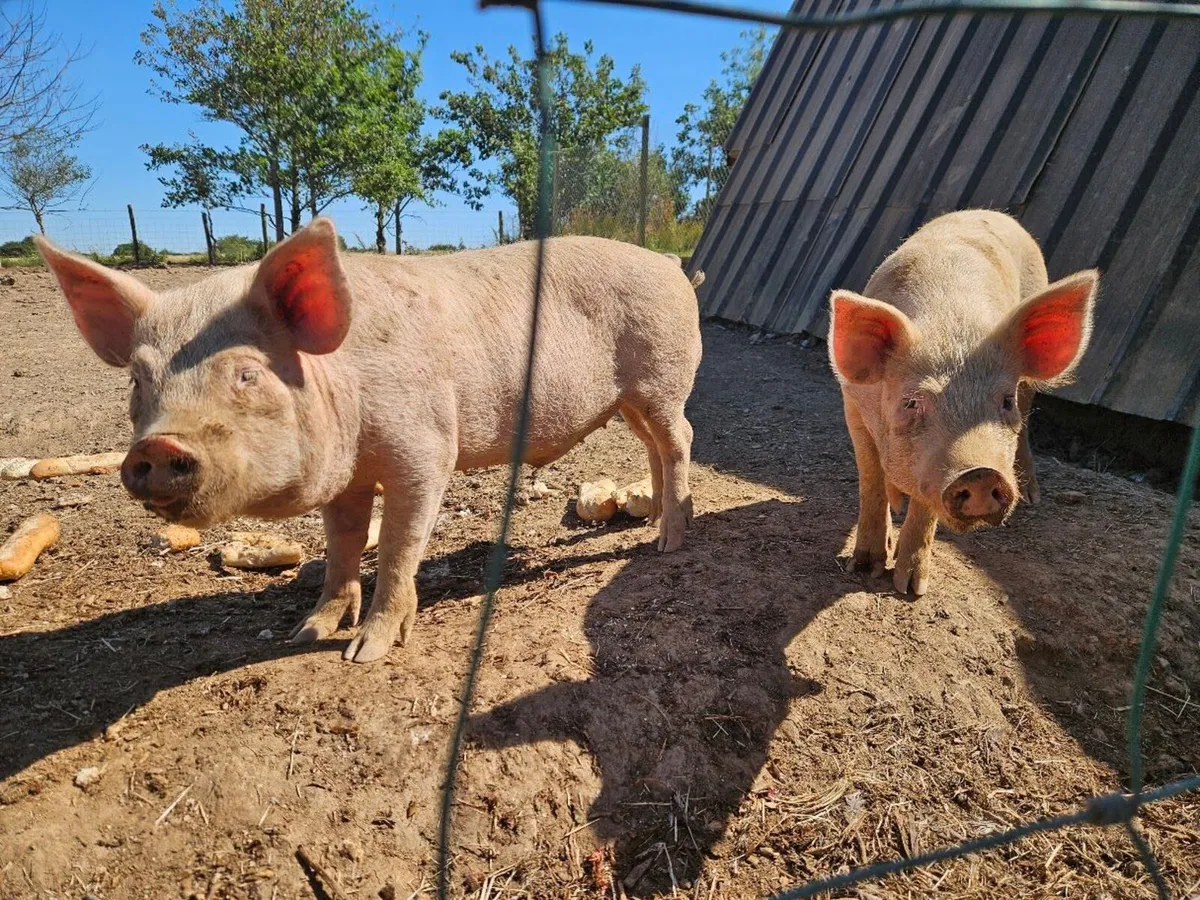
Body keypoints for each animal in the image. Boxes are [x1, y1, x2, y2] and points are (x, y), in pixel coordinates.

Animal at [35, 219, 703, 662]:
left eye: (246, 374)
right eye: (137, 380)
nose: (156, 448)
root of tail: (672, 267)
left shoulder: (426, 450)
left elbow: (401, 547)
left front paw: (364, 653)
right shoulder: (345, 478)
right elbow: (343, 546)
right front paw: (306, 631)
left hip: (662, 375)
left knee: (680, 437)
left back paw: (668, 543)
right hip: (629, 399)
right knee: (652, 444)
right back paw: (650, 525)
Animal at [828, 210, 1098, 596]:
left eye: (1004, 401)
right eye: (911, 403)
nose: (981, 473)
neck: (951, 329)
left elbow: (924, 505)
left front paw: (911, 589)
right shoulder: (852, 401)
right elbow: (871, 480)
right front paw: (863, 568)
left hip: (1029, 382)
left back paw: (1033, 496)